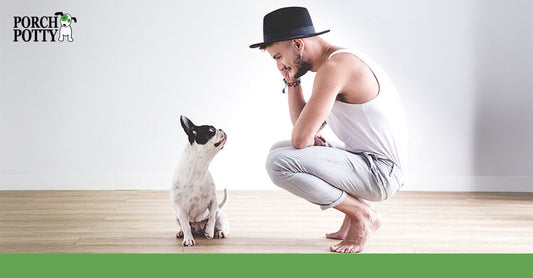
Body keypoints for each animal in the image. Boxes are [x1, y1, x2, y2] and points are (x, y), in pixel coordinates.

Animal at [170, 114, 229, 245]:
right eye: (211, 130)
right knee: (183, 225)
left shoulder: (213, 201)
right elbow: (185, 225)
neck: (199, 169)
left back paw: (219, 232)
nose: (221, 129)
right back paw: (181, 233)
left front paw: (210, 231)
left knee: (224, 226)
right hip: (176, 216)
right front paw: (188, 239)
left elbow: (211, 216)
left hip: (220, 216)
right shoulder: (180, 208)